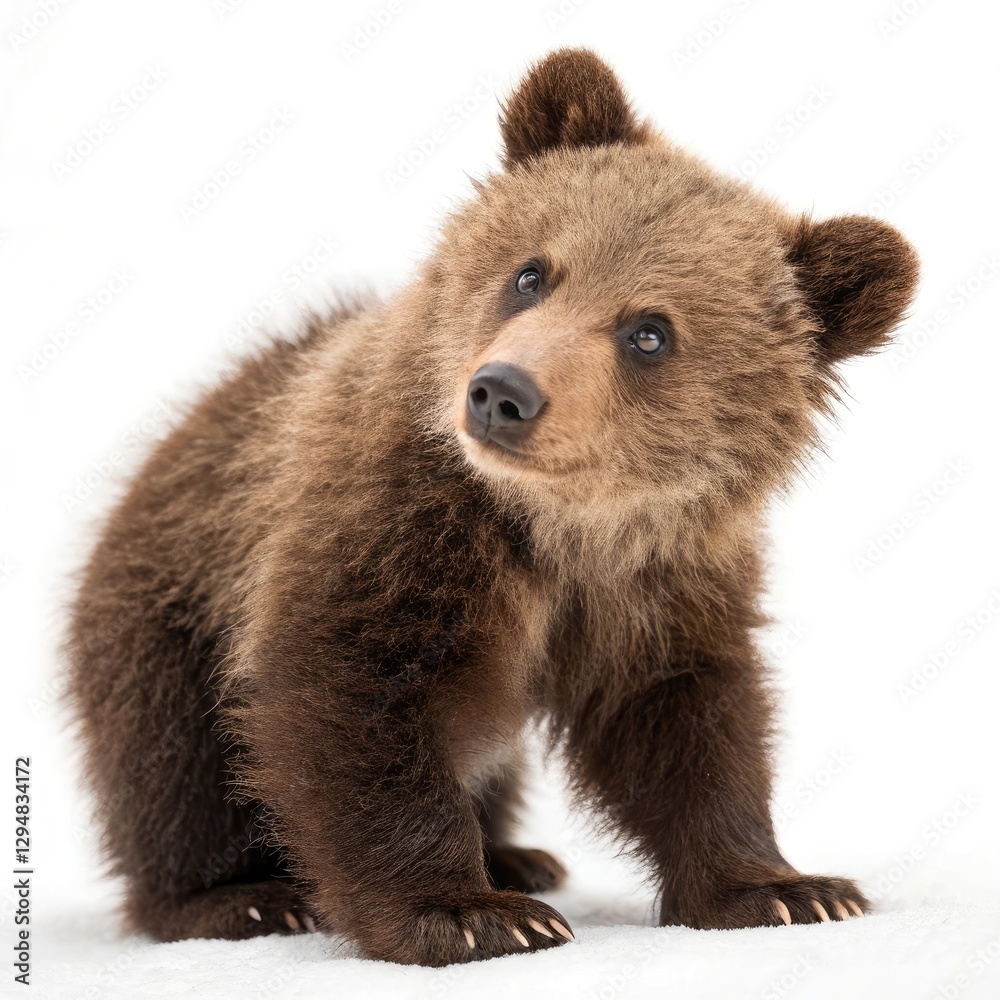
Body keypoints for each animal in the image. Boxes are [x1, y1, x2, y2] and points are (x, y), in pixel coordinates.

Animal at [66, 48, 919, 966]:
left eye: (649, 331)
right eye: (532, 272)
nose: (502, 392)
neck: (558, 525)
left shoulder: (663, 581)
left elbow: (688, 719)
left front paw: (788, 889)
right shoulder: (389, 527)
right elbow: (351, 694)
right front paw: (468, 913)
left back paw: (518, 854)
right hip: (168, 611)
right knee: (170, 765)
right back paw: (238, 897)